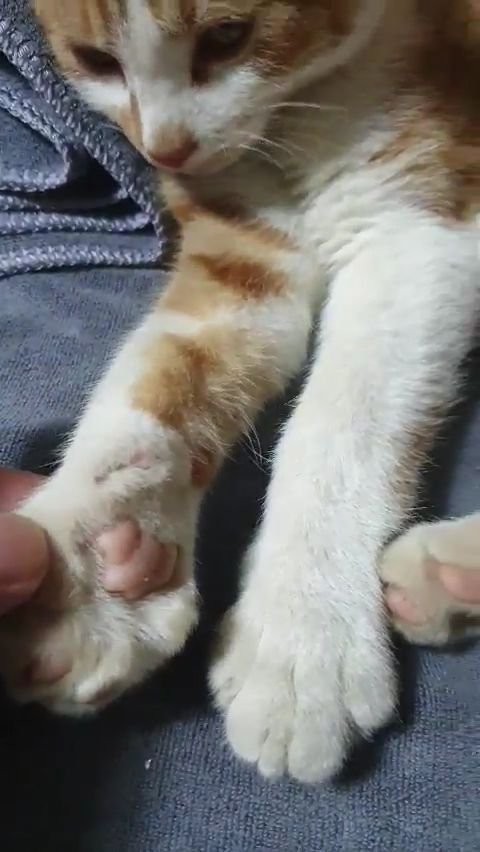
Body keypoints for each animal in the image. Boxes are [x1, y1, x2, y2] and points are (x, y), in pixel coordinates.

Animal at [0, 0, 478, 783]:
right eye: (95, 61)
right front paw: (105, 552)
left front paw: (302, 634)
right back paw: (450, 580)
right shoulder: (246, 251)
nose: (165, 151)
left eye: (228, 37)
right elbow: (167, 365)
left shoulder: (417, 227)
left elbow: (342, 423)